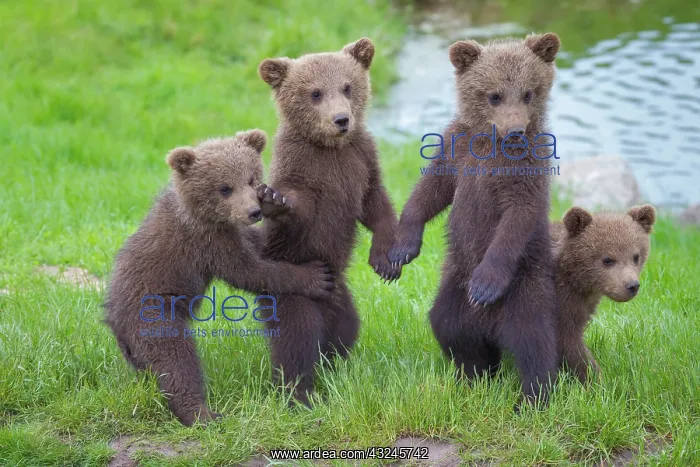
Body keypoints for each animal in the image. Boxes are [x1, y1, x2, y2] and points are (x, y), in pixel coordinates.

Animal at [104, 130, 335, 426]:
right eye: (225, 188)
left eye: (251, 179)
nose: (253, 212)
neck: (205, 214)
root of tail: (113, 316)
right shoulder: (207, 241)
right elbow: (250, 271)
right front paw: (316, 275)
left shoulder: (231, 231)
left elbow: (256, 245)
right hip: (153, 313)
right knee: (175, 360)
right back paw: (202, 413)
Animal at [256, 37, 400, 405]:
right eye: (315, 93)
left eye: (347, 87)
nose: (341, 120)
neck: (331, 148)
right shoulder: (304, 168)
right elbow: (301, 212)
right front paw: (274, 200)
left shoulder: (361, 160)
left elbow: (375, 204)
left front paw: (386, 261)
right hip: (293, 288)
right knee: (297, 336)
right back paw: (298, 393)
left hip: (340, 296)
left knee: (345, 330)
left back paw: (335, 366)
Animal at [388, 33, 563, 406]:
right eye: (494, 94)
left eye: (528, 92)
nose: (515, 130)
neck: (492, 144)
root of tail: (492, 327)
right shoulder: (458, 150)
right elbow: (432, 188)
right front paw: (401, 248)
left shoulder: (526, 171)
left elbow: (516, 218)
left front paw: (484, 284)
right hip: (454, 285)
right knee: (450, 328)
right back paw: (473, 376)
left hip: (526, 285)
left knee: (534, 341)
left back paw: (532, 397)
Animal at [552, 204, 656, 384]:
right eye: (607, 259)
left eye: (636, 257)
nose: (632, 286)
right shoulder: (558, 301)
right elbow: (568, 342)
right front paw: (596, 378)